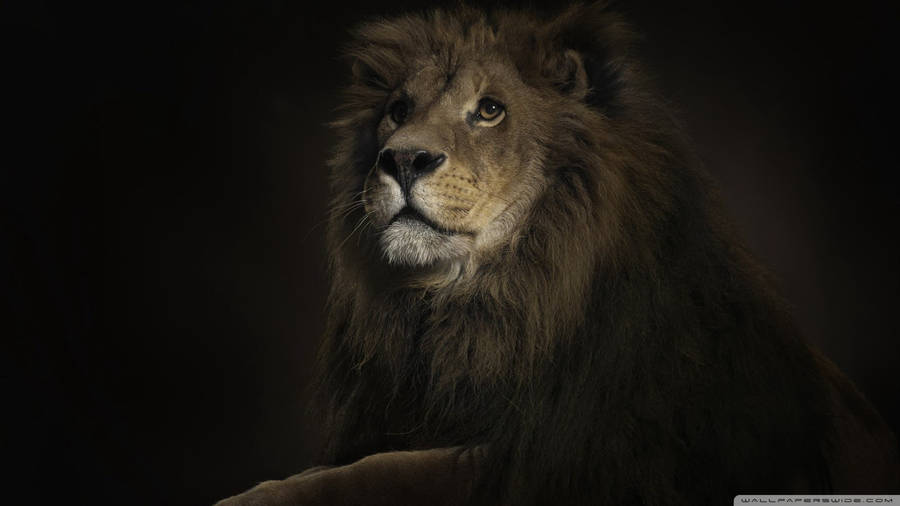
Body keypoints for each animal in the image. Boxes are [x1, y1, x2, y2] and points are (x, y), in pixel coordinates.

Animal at [217, 3, 900, 505]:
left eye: (490, 110)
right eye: (398, 111)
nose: (402, 158)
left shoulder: (566, 457)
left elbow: (381, 473)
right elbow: (348, 467)